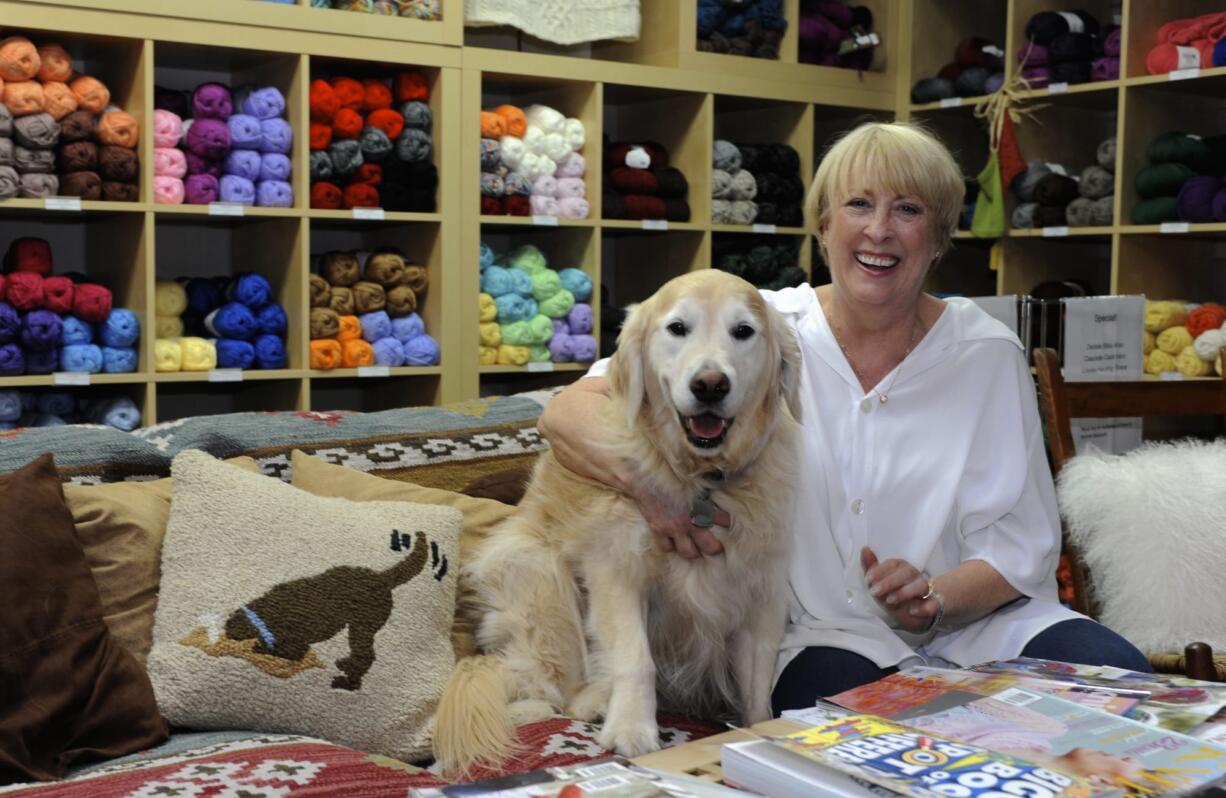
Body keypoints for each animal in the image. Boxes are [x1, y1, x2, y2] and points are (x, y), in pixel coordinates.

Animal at [434, 272, 804, 779]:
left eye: (743, 331)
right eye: (678, 328)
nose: (710, 385)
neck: (700, 479)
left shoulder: (762, 592)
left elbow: (758, 685)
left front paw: (760, 731)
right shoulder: (617, 571)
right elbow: (634, 657)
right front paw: (632, 728)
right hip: (543, 581)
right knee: (545, 688)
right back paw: (579, 703)